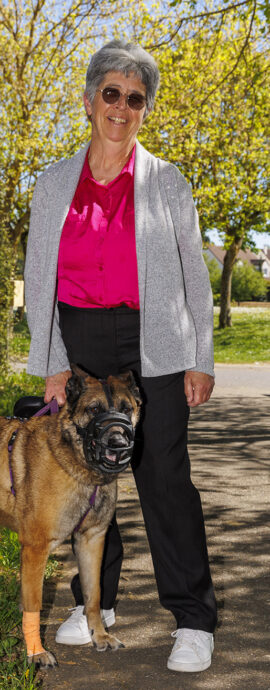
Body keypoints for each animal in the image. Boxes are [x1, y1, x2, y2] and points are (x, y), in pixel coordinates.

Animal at [0, 368, 141, 664]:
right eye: (94, 409)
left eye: (126, 409)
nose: (119, 443)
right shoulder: (35, 549)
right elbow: (34, 603)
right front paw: (36, 652)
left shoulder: (91, 540)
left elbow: (94, 594)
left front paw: (99, 635)